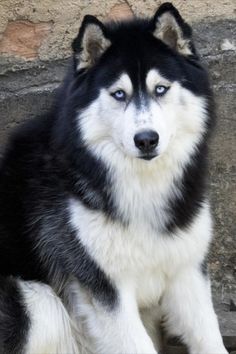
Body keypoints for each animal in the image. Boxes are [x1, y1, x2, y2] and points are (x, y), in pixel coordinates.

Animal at [0, 2, 229, 354]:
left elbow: (209, 337)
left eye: (160, 89)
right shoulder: (105, 288)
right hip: (36, 300)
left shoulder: (186, 270)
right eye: (119, 94)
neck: (141, 185)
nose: (146, 139)